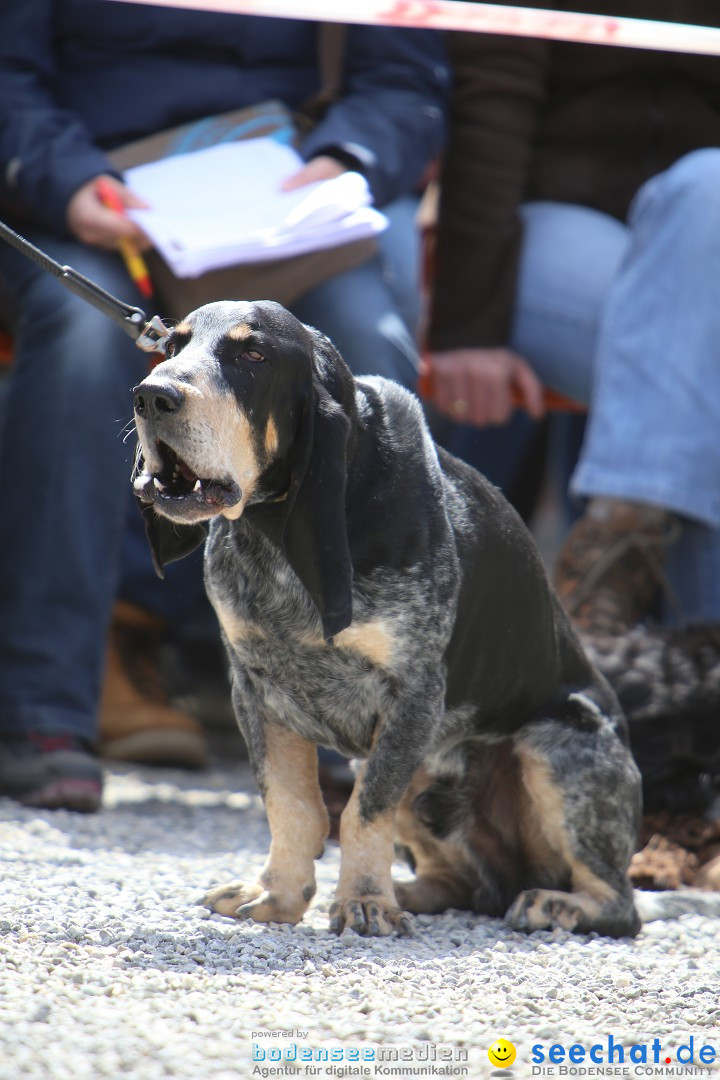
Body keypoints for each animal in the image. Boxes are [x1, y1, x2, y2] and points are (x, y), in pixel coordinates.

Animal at [133, 298, 643, 937]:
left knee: (619, 902)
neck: (276, 534)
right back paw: (414, 893)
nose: (151, 396)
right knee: (464, 884)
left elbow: (362, 809)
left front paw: (365, 903)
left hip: (554, 745)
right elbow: (291, 804)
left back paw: (554, 904)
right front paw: (278, 893)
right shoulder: (255, 689)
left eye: (253, 355)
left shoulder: (413, 694)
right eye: (172, 345)